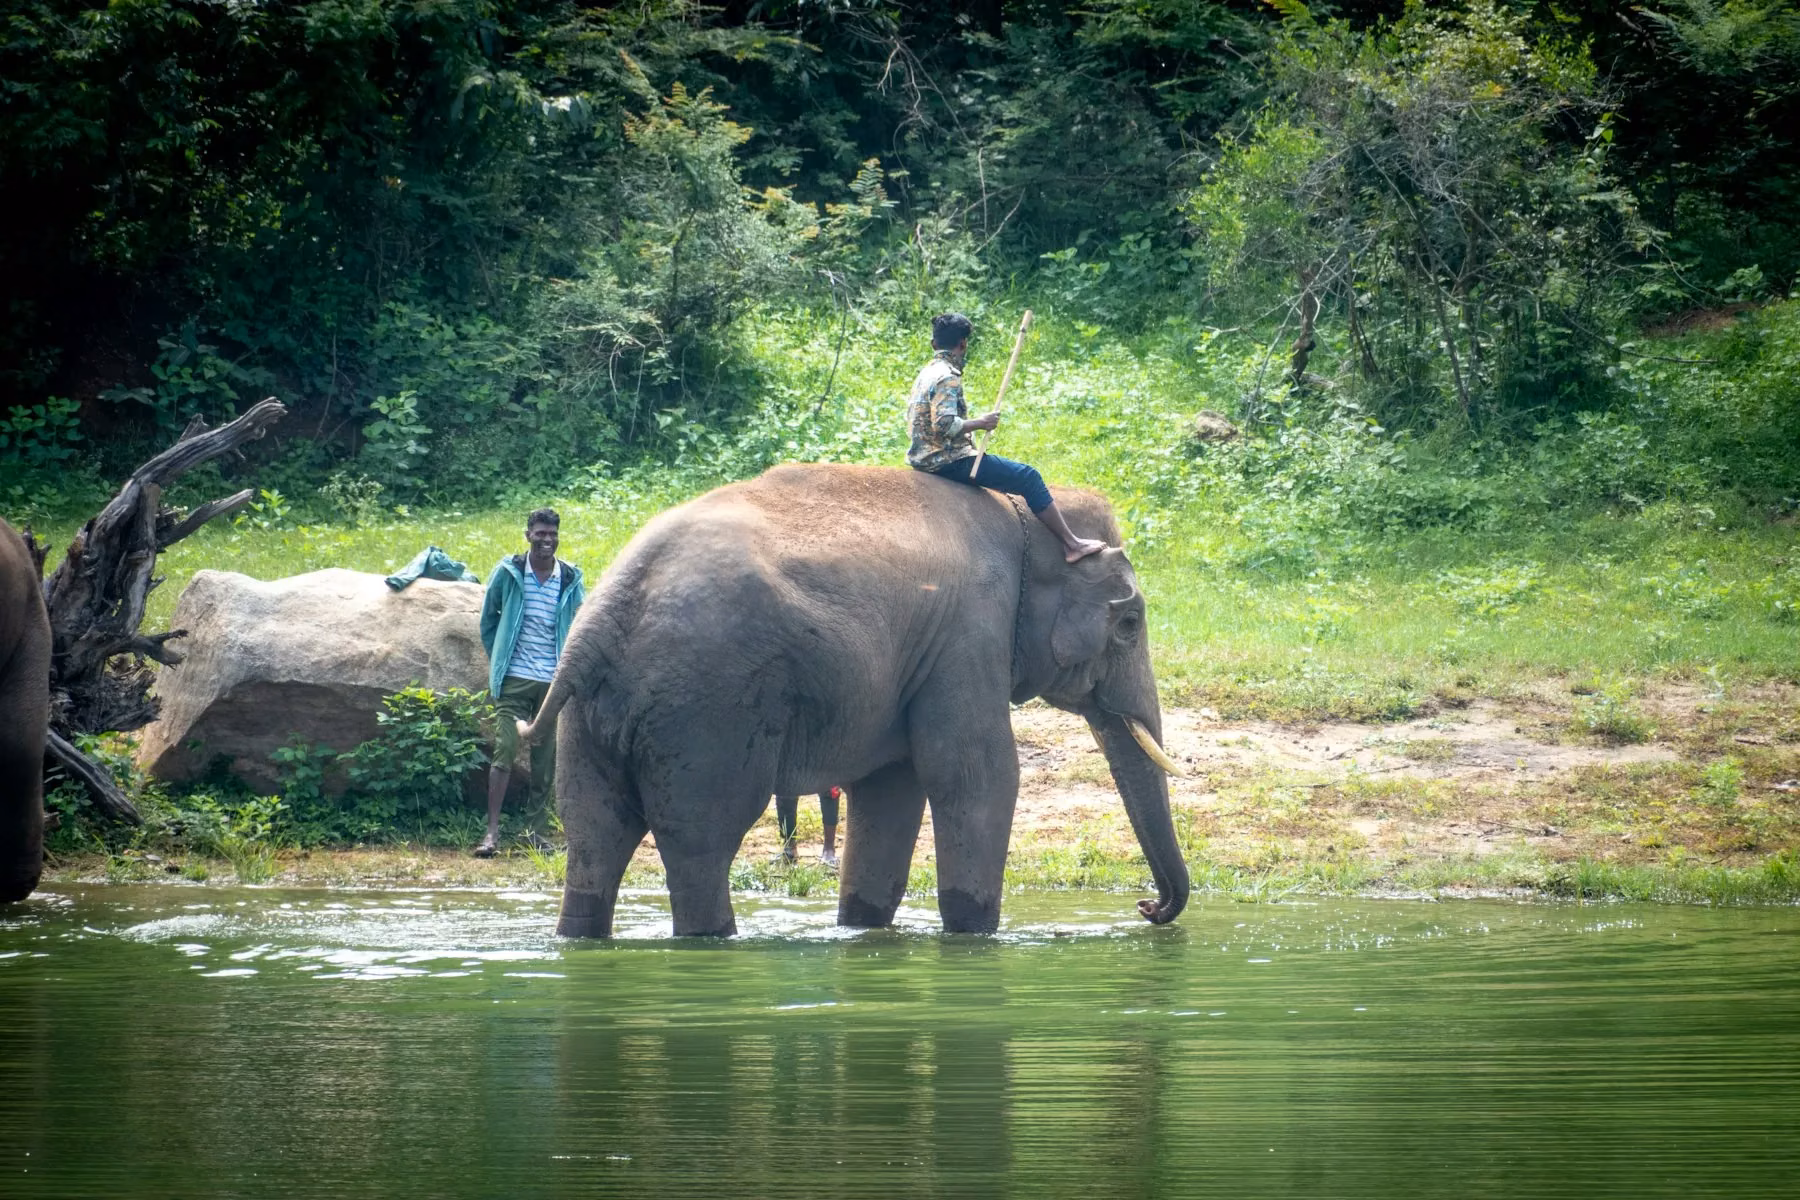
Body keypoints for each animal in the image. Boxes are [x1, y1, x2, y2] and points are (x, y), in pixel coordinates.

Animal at [524, 463, 1188, 937]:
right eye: (1130, 624)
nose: (1147, 906)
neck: (1024, 518)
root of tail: (597, 627)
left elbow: (892, 785)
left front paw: (864, 929)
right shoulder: (970, 631)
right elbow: (976, 773)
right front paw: (973, 934)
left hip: (593, 720)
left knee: (594, 833)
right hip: (705, 711)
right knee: (700, 840)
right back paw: (710, 940)